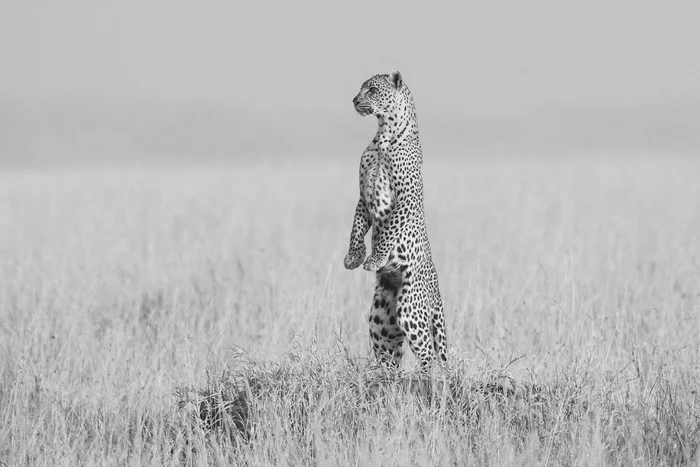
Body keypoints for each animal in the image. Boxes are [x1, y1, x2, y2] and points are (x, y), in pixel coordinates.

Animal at [344, 69, 448, 372]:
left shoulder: (405, 198)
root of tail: (435, 288)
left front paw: (374, 259)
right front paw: (353, 257)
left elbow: (389, 230)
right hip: (382, 314)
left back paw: (427, 378)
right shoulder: (362, 197)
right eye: (361, 88)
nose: (354, 100)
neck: (383, 135)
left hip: (410, 309)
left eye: (372, 90)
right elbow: (356, 228)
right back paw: (382, 375)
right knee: (389, 354)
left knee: (430, 356)